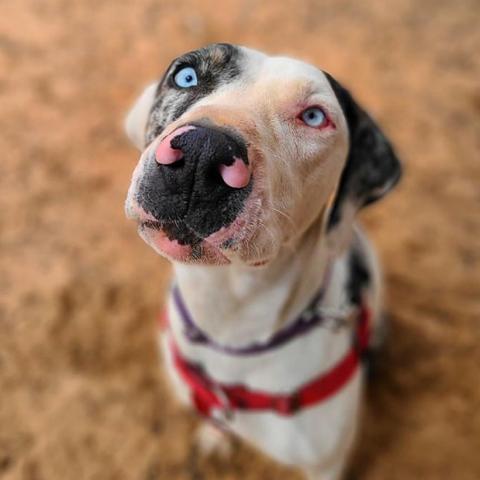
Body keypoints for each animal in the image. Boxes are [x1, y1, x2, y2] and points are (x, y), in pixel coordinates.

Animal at [124, 43, 402, 478]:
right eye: (186, 76)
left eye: (313, 116)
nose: (203, 152)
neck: (230, 321)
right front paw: (215, 436)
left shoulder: (326, 464)